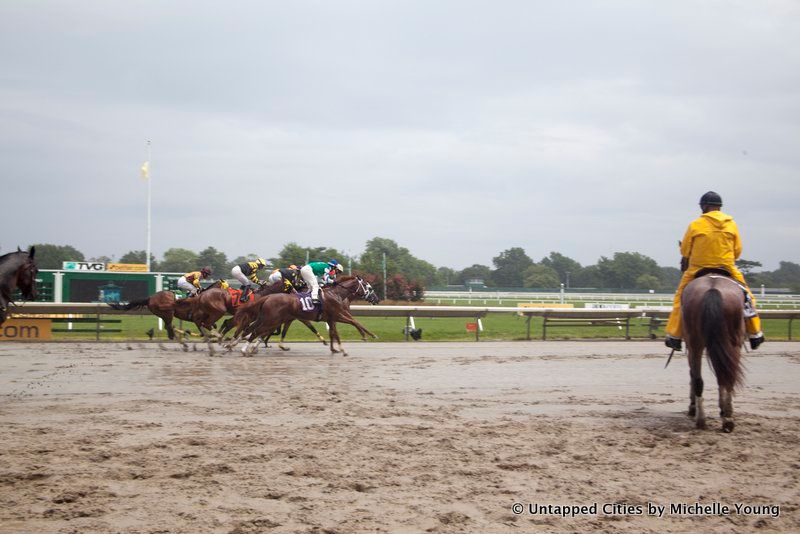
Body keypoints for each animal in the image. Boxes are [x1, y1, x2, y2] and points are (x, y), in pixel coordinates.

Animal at [239, 276, 380, 360]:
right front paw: (367, 335)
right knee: (255, 331)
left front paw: (338, 349)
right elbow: (353, 322)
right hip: (271, 319)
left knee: (254, 330)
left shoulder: (331, 318)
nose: (376, 299)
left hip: (271, 318)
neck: (335, 294)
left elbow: (335, 333)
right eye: (369, 287)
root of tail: (267, 297)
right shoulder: (338, 315)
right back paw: (245, 349)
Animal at [680, 274, 752, 434]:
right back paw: (722, 419)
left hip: (698, 343)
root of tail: (713, 288)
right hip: (729, 343)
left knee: (704, 378)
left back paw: (709, 419)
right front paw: (722, 410)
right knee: (724, 377)